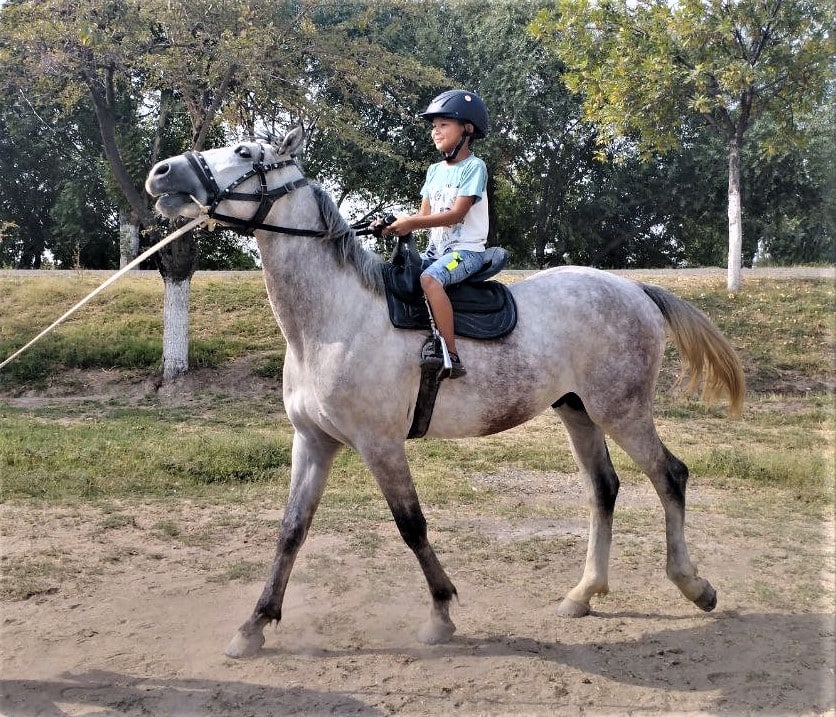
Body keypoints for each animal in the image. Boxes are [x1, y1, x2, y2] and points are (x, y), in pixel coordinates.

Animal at [145, 127, 744, 656]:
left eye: (246, 152)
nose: (161, 173)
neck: (334, 320)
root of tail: (634, 288)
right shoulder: (313, 442)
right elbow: (291, 530)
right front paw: (255, 625)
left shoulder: (380, 444)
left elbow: (411, 525)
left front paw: (441, 613)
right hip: (578, 411)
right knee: (604, 489)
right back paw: (584, 593)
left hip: (621, 410)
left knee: (669, 475)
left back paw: (694, 586)